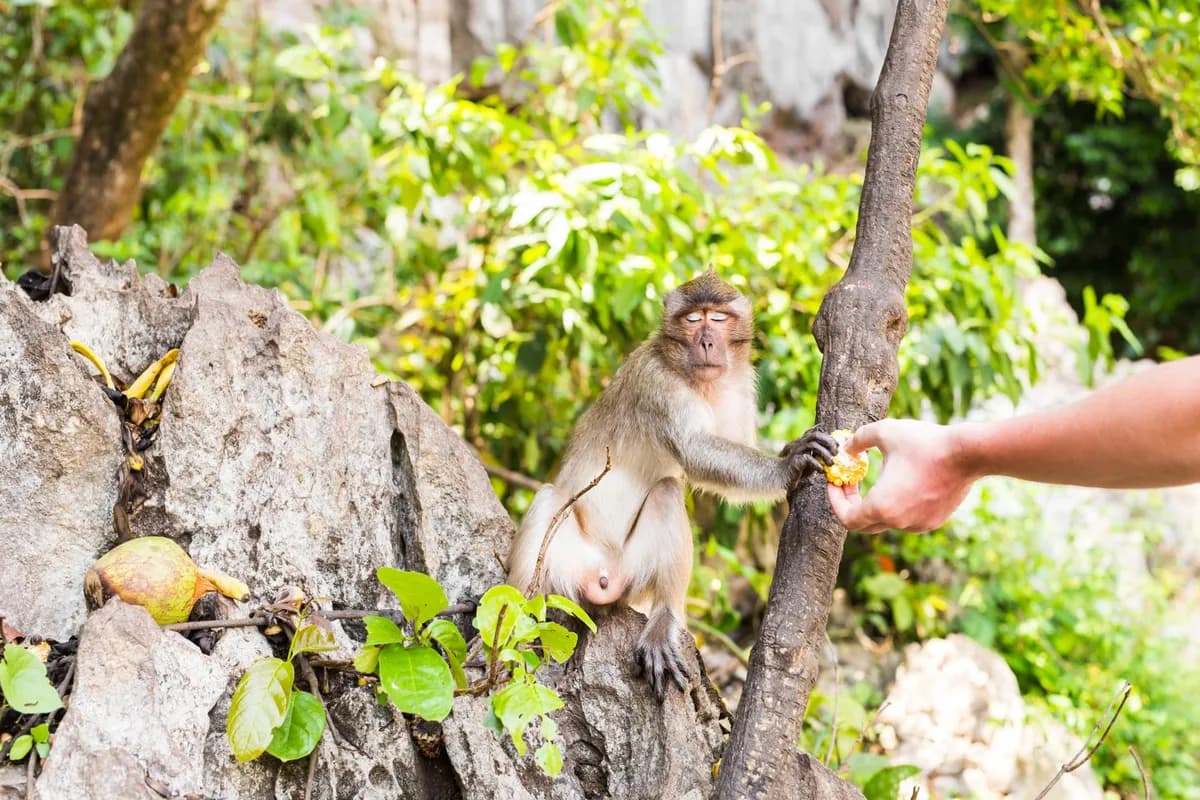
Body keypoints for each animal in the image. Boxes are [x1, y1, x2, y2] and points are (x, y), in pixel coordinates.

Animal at [506, 270, 838, 698]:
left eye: (719, 318)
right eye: (693, 320)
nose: (707, 342)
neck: (698, 381)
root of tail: (602, 580)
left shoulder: (739, 382)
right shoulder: (657, 382)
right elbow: (695, 452)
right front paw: (789, 465)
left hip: (633, 576)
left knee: (665, 491)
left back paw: (665, 614)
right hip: (565, 568)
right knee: (552, 498)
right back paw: (512, 616)